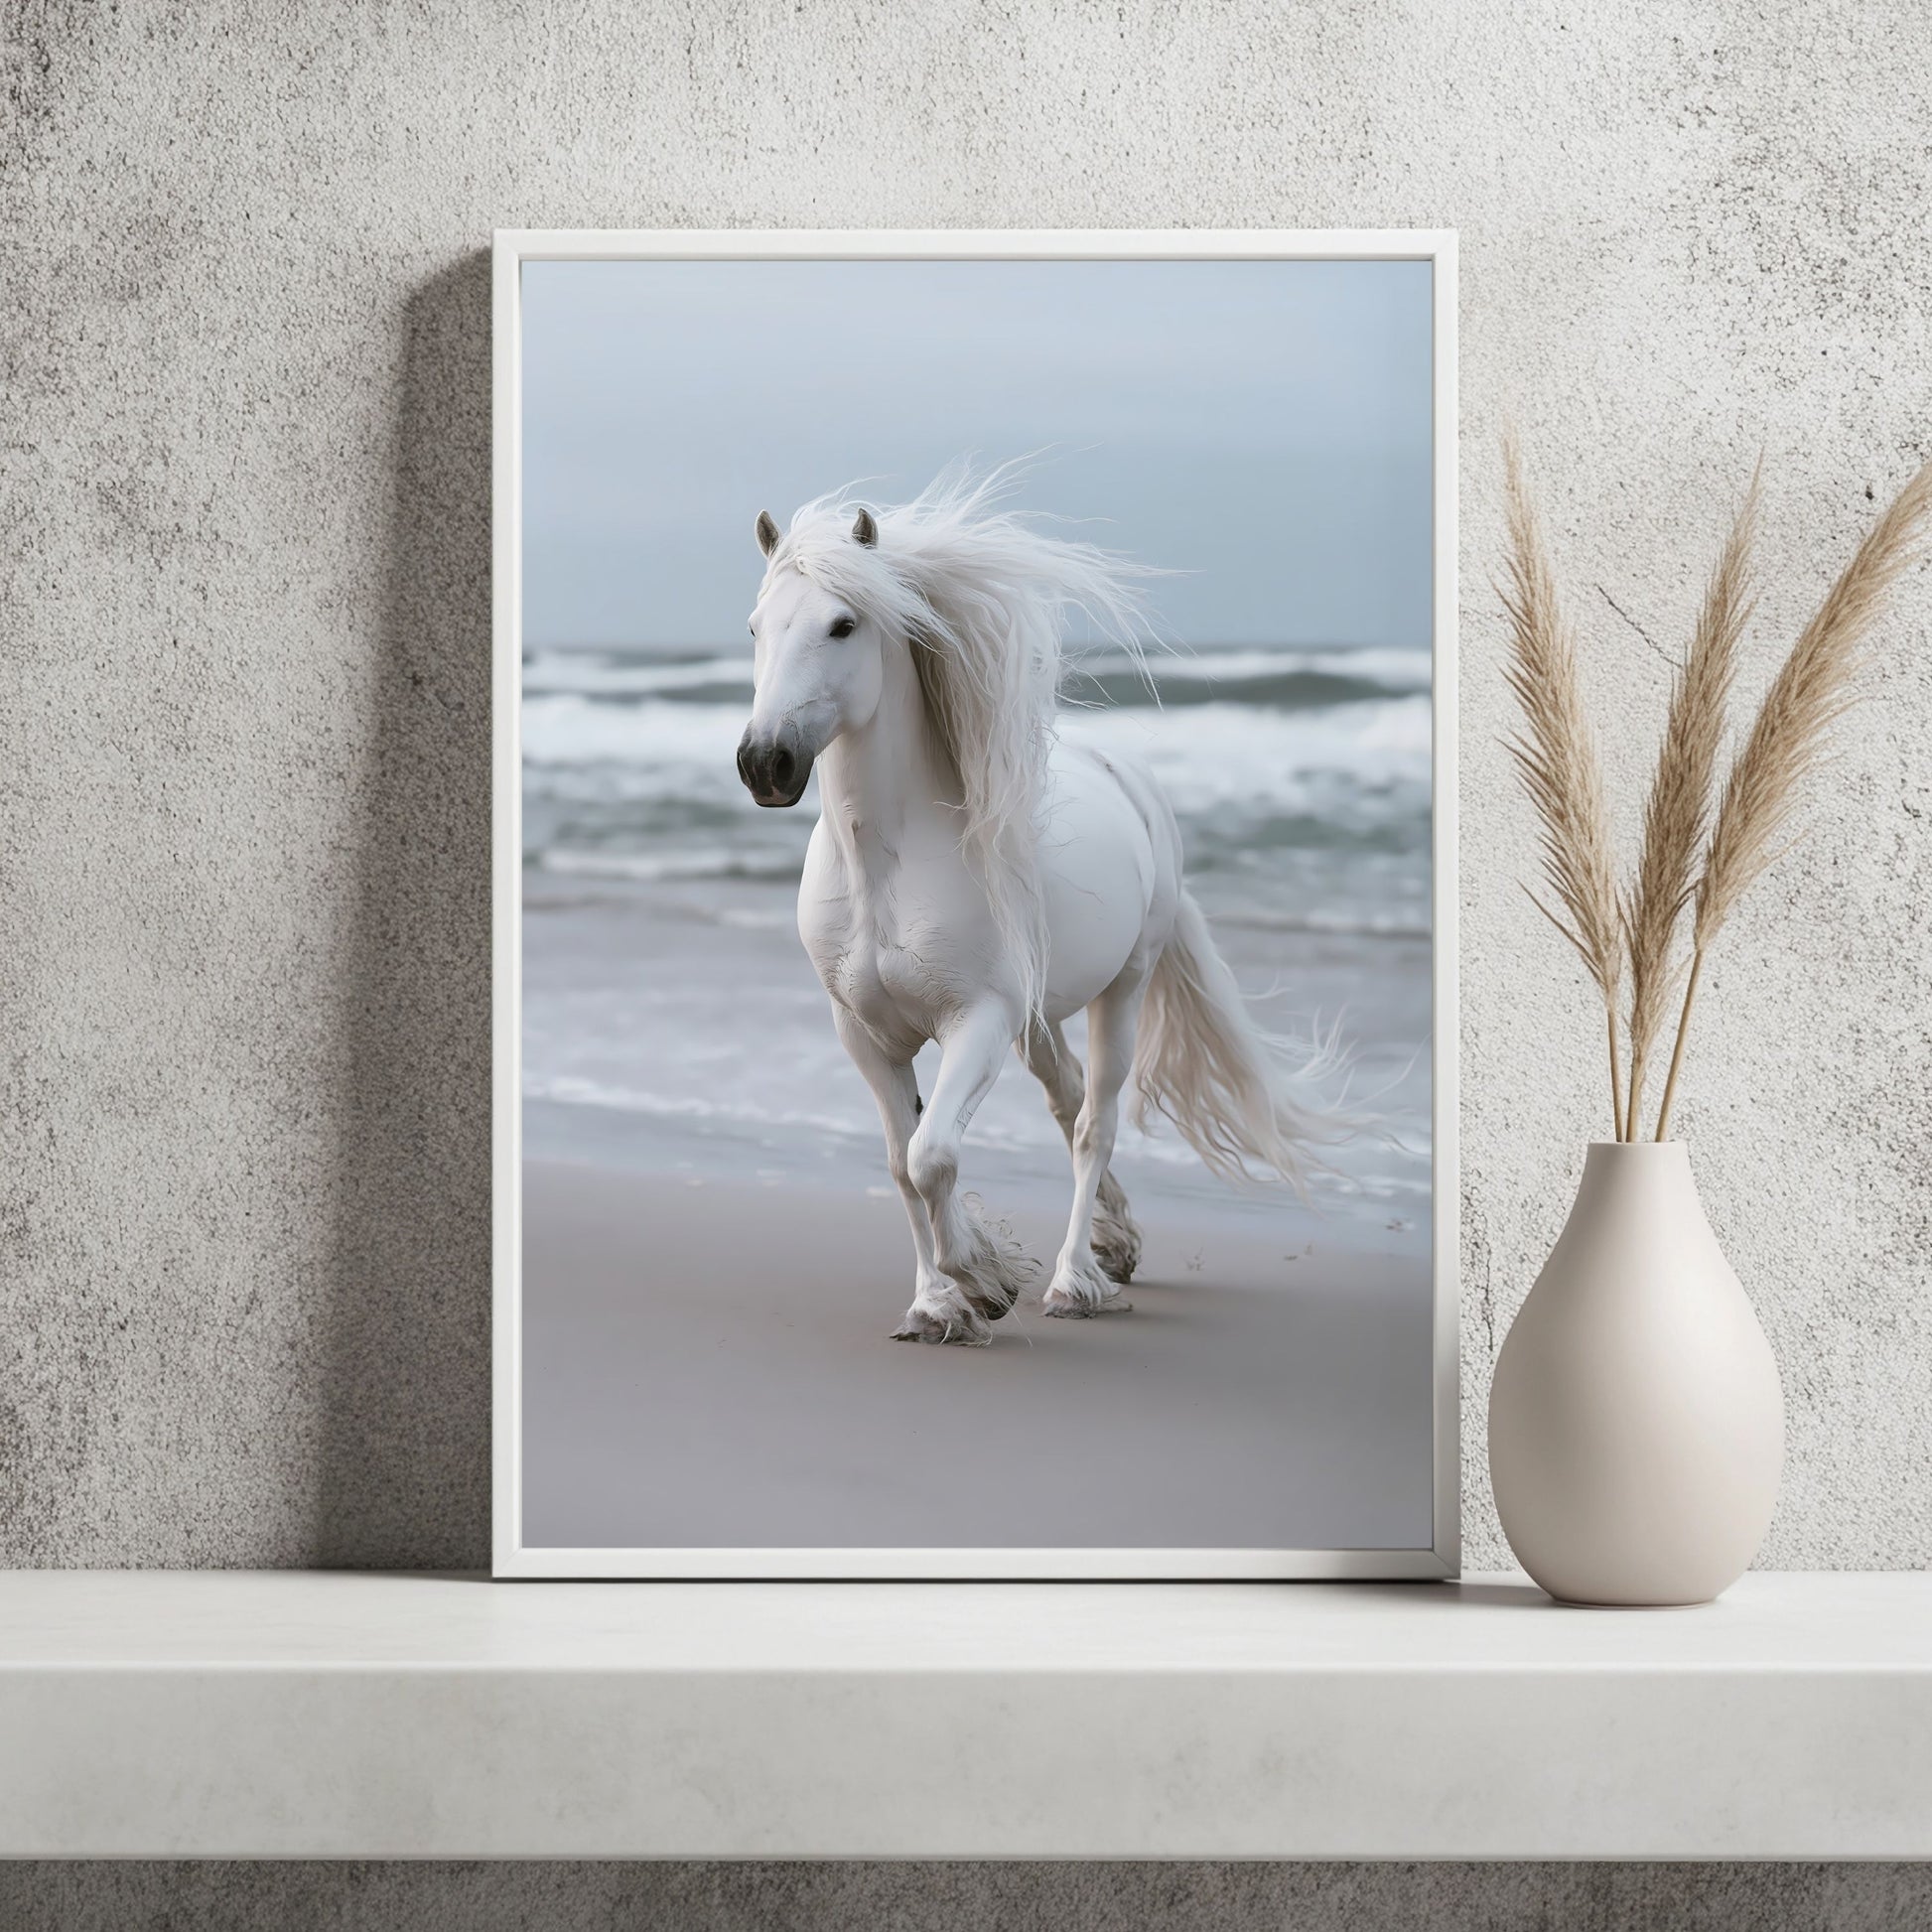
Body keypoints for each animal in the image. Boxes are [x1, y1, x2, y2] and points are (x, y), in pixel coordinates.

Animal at [734, 466, 1354, 1345]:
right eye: (755, 627)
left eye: (842, 624)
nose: (765, 763)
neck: (886, 870)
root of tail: (1132, 780)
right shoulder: (865, 1035)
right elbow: (900, 1163)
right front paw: (934, 1305)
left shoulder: (978, 1022)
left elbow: (931, 1155)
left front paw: (987, 1282)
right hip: (1038, 1017)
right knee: (1066, 1104)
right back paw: (1114, 1244)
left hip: (1120, 990)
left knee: (1093, 1123)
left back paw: (1072, 1280)